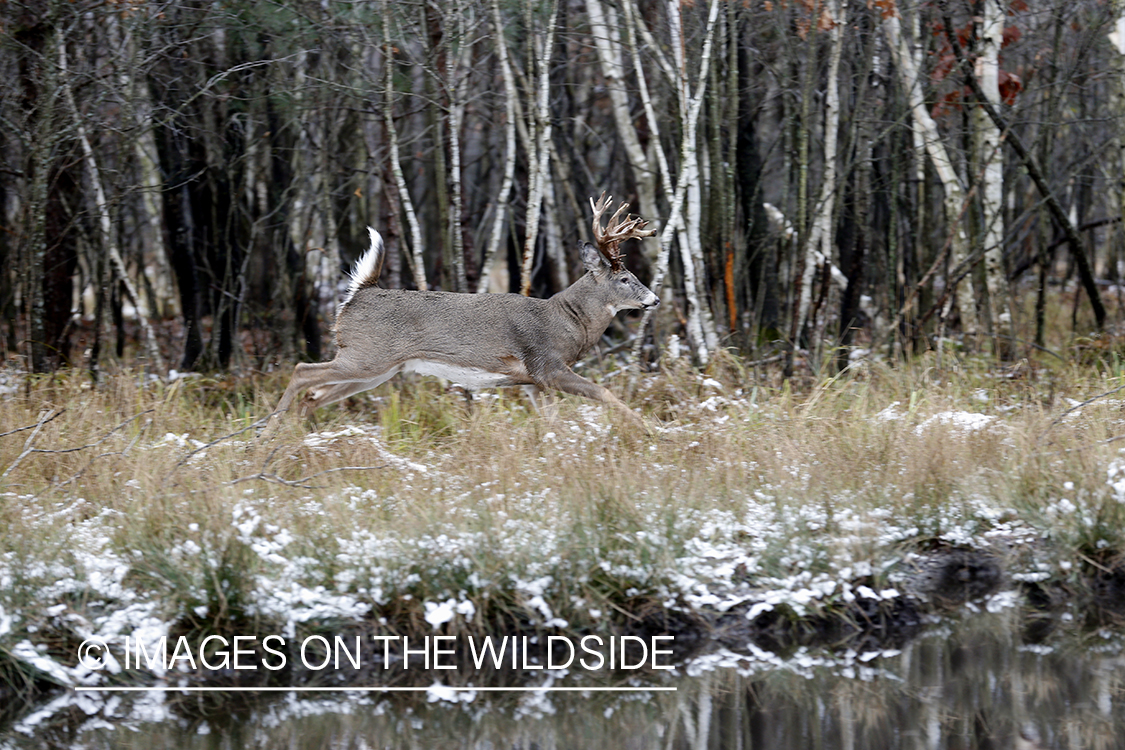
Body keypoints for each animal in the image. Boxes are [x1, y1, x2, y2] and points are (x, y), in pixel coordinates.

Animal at [262, 193, 657, 436]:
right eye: (625, 278)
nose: (653, 299)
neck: (569, 320)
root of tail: (360, 293)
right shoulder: (548, 366)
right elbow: (604, 392)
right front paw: (651, 431)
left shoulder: (533, 383)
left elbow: (554, 422)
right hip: (366, 356)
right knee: (302, 371)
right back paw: (268, 432)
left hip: (378, 368)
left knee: (313, 395)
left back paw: (292, 437)